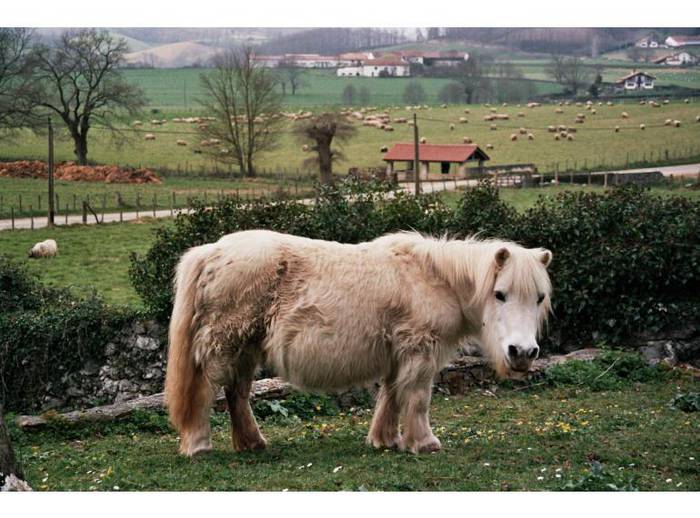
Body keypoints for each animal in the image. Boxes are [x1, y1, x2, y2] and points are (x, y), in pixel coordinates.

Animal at [165, 230, 552, 458]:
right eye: (500, 294)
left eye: (539, 298)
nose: (523, 353)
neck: (434, 278)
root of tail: (211, 252)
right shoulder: (419, 350)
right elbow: (417, 399)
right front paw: (423, 443)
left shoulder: (399, 354)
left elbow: (392, 396)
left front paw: (386, 440)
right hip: (223, 343)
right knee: (204, 390)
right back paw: (199, 445)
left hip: (246, 348)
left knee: (237, 394)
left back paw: (252, 444)